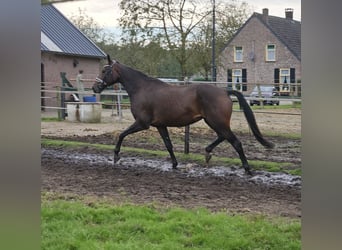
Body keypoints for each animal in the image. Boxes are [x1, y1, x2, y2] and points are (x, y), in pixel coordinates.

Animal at [92, 55, 274, 176]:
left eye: (104, 70)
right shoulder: (160, 125)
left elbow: (122, 135)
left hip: (216, 121)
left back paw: (247, 169)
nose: (95, 88)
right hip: (213, 122)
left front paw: (116, 156)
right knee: (223, 137)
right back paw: (208, 152)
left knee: (235, 142)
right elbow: (168, 145)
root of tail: (224, 92)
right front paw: (174, 164)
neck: (141, 89)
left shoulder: (142, 123)